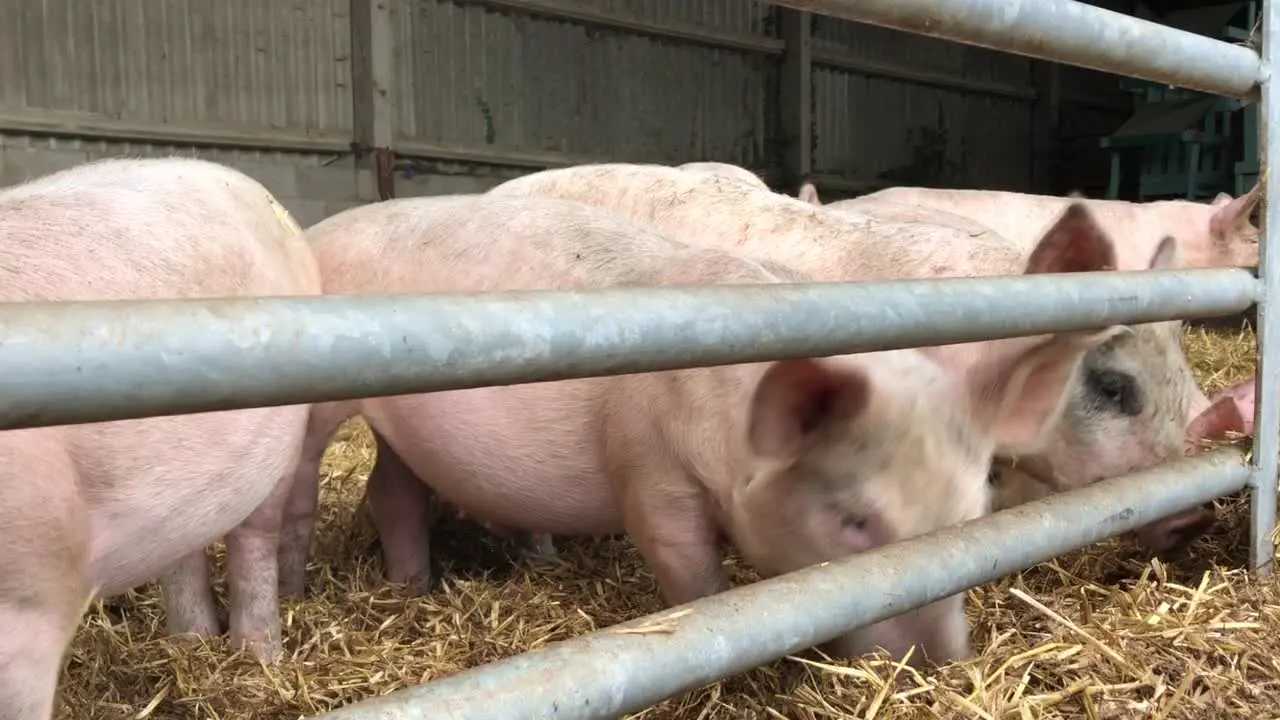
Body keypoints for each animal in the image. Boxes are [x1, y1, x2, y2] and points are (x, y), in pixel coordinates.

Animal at [0, 154, 320, 712]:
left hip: (281, 436)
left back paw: (259, 657)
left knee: (255, 537)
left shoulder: (33, 589)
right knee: (184, 551)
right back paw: (191, 642)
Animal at [280, 192, 1121, 666]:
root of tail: (321, 228)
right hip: (320, 406)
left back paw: (414, 587)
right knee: (299, 494)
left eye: (971, 515)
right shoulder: (651, 472)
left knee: (394, 491)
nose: (946, 666)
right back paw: (292, 598)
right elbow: (692, 577)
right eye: (854, 521)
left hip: (399, 428)